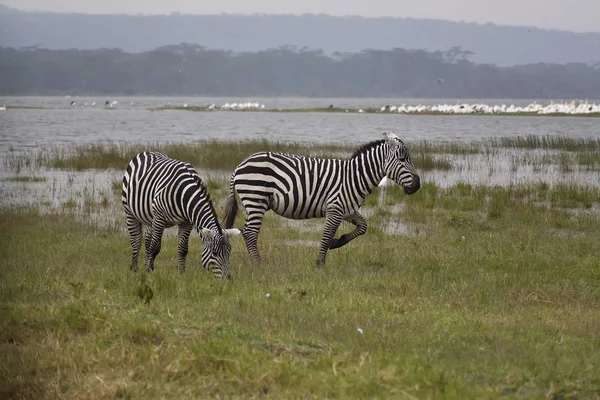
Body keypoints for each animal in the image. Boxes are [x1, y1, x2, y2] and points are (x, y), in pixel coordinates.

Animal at [122, 152, 241, 280]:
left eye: (229, 251)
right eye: (214, 253)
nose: (227, 279)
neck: (184, 193)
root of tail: (147, 152)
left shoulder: (186, 222)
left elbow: (183, 249)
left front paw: (181, 274)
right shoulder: (159, 217)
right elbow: (154, 247)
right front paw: (148, 271)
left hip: (151, 217)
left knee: (148, 237)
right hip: (130, 211)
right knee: (136, 240)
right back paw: (135, 269)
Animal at [223, 131, 420, 268]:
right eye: (402, 159)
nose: (417, 185)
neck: (354, 177)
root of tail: (240, 165)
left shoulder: (348, 210)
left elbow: (363, 227)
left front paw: (337, 242)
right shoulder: (335, 208)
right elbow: (325, 236)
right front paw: (320, 265)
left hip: (252, 203)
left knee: (247, 231)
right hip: (256, 199)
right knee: (249, 233)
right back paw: (259, 265)